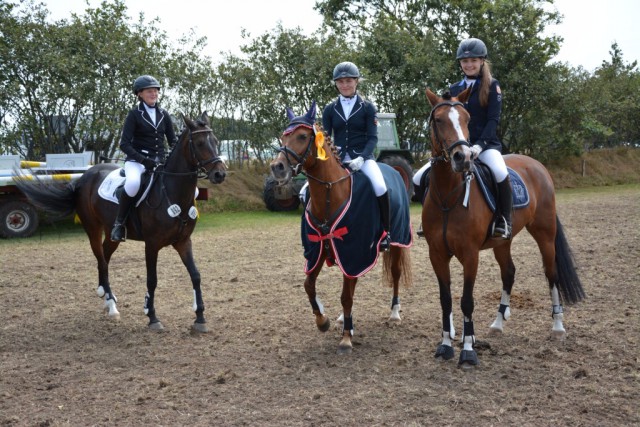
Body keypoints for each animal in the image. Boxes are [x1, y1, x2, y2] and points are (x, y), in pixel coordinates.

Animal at [14, 112, 228, 332]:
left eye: (215, 141)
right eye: (200, 143)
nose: (219, 174)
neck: (171, 192)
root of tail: (84, 177)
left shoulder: (183, 241)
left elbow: (196, 275)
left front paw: (200, 318)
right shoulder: (152, 244)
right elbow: (152, 280)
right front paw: (152, 316)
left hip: (112, 233)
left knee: (105, 257)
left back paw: (108, 299)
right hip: (92, 228)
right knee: (101, 260)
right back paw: (110, 302)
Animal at [268, 100, 410, 354]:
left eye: (302, 136)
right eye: (284, 137)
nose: (278, 167)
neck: (329, 192)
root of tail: (394, 171)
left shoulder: (353, 250)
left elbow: (346, 296)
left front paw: (345, 338)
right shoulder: (320, 251)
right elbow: (309, 286)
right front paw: (323, 321)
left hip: (396, 242)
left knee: (395, 274)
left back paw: (394, 314)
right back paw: (344, 319)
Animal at [422, 89, 588, 368]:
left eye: (467, 119)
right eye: (438, 119)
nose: (463, 158)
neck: (447, 195)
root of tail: (536, 164)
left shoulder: (470, 255)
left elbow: (467, 301)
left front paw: (468, 350)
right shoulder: (437, 254)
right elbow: (446, 300)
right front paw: (446, 345)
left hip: (545, 234)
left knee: (551, 274)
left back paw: (558, 326)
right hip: (502, 242)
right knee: (509, 272)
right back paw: (498, 323)